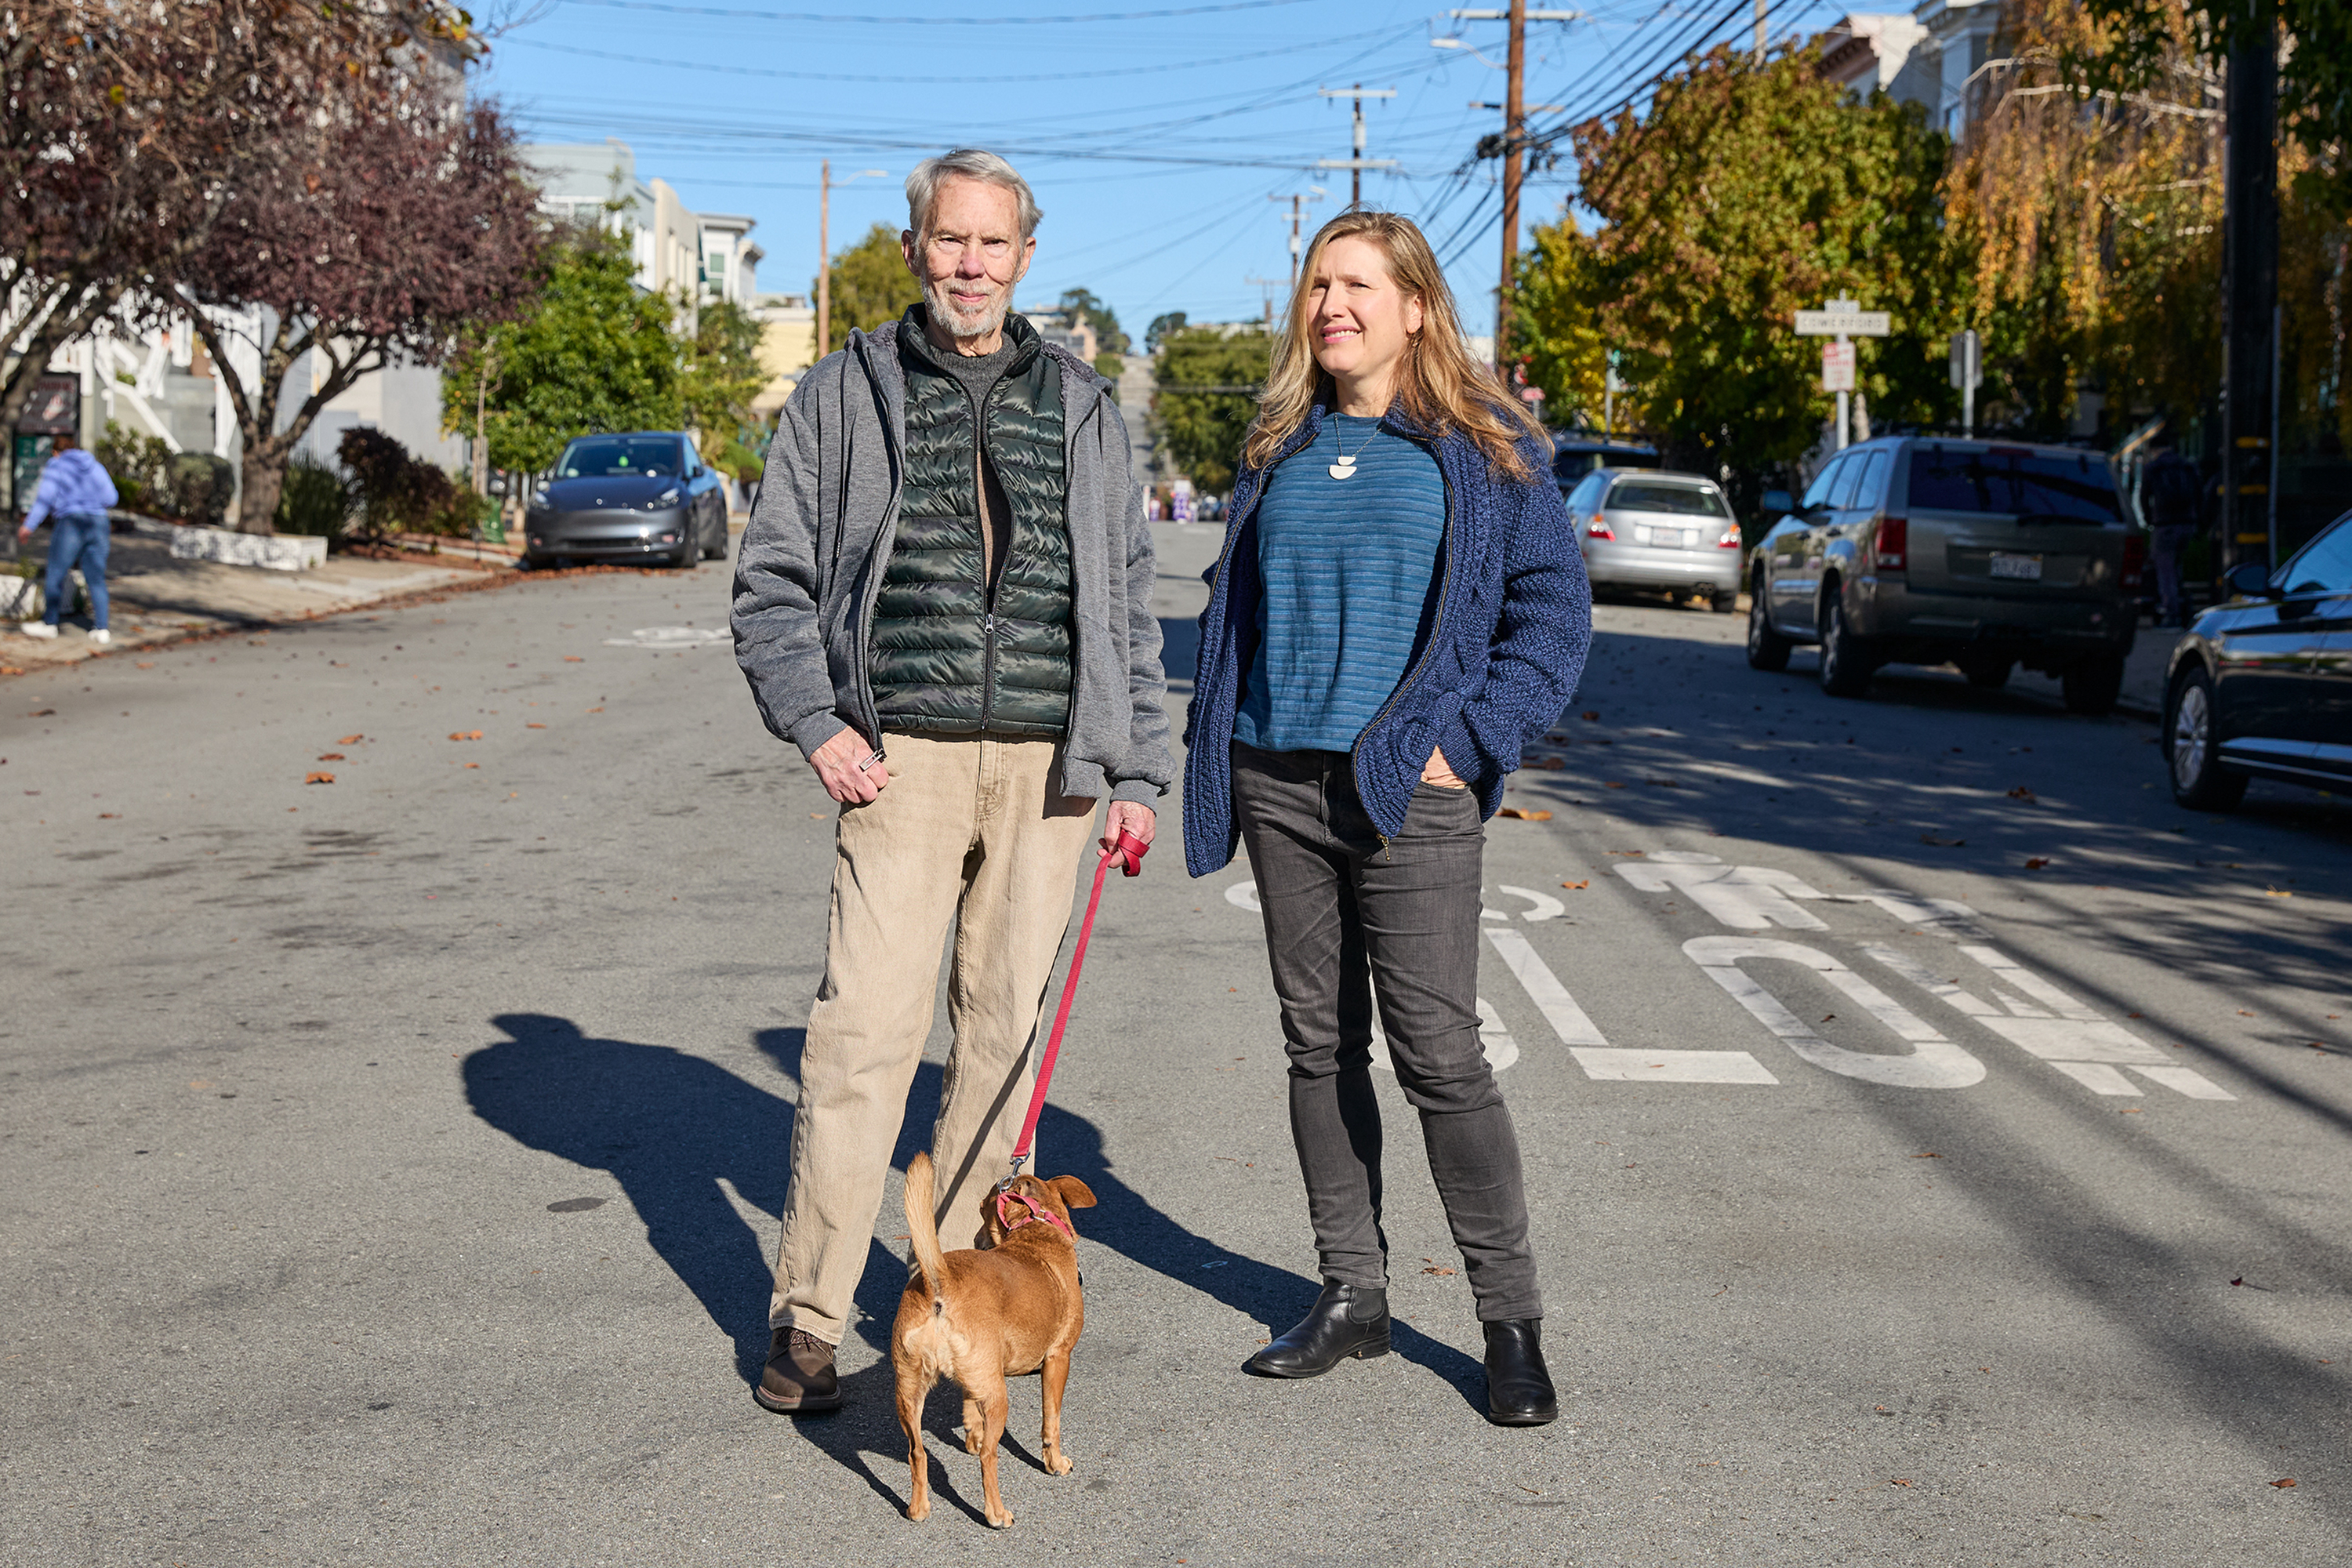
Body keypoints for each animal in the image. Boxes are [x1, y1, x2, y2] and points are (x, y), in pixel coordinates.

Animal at [894, 1147, 1096, 1523]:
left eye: (981, 1210)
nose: (975, 1240)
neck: (1036, 1229)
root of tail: (940, 1283)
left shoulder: (977, 1379)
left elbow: (969, 1406)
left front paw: (971, 1435)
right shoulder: (1058, 1358)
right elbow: (1052, 1420)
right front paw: (1055, 1463)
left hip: (910, 1390)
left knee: (918, 1453)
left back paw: (918, 1509)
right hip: (998, 1397)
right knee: (990, 1457)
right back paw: (997, 1514)